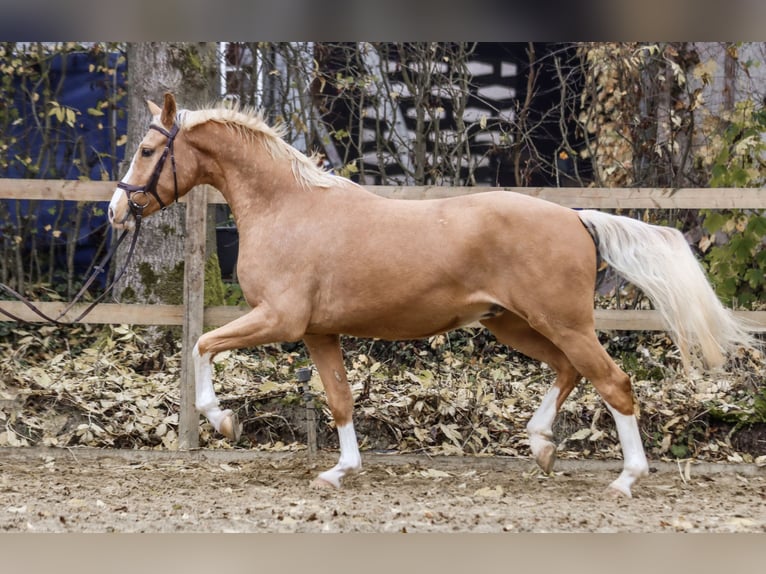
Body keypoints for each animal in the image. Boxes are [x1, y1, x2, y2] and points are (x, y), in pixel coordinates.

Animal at [108, 93, 756, 500]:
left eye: (146, 151)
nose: (116, 212)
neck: (288, 208)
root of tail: (576, 217)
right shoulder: (318, 332)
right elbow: (340, 400)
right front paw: (340, 471)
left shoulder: (280, 320)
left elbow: (202, 344)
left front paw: (223, 421)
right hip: (513, 324)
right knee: (570, 371)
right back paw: (541, 445)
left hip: (562, 322)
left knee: (614, 383)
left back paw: (626, 479)